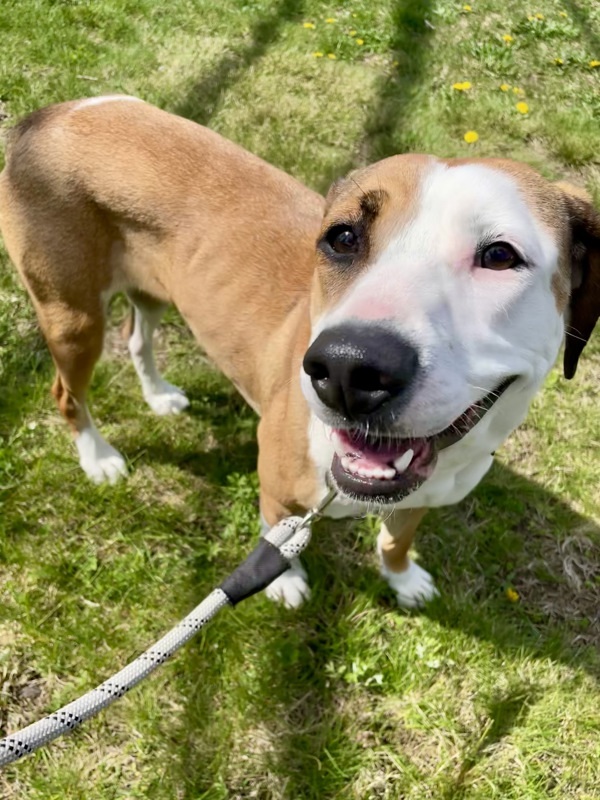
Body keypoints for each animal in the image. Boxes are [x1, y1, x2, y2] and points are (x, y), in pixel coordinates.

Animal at [0, 95, 596, 608]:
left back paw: (158, 395)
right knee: (67, 392)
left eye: (499, 255)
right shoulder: (276, 481)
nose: (349, 369)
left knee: (137, 336)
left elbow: (397, 540)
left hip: (153, 289)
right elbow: (273, 533)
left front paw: (402, 578)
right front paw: (283, 582)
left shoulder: (418, 501)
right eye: (343, 237)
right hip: (72, 317)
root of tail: (48, 115)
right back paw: (98, 457)